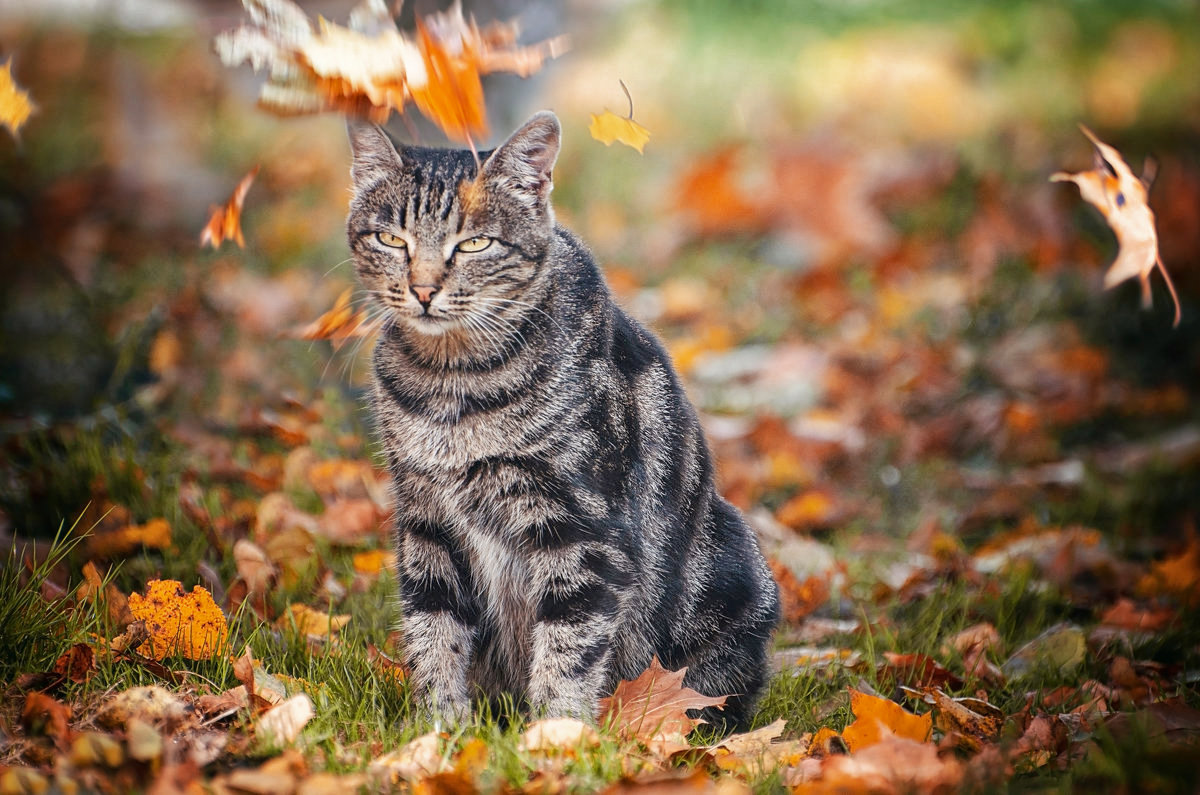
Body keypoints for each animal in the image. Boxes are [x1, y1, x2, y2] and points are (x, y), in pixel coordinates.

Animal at [343, 113, 782, 734]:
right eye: (391, 240)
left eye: (475, 243)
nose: (423, 290)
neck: (451, 382)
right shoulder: (425, 523)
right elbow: (434, 635)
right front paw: (440, 731)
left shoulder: (582, 530)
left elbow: (568, 647)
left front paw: (556, 736)